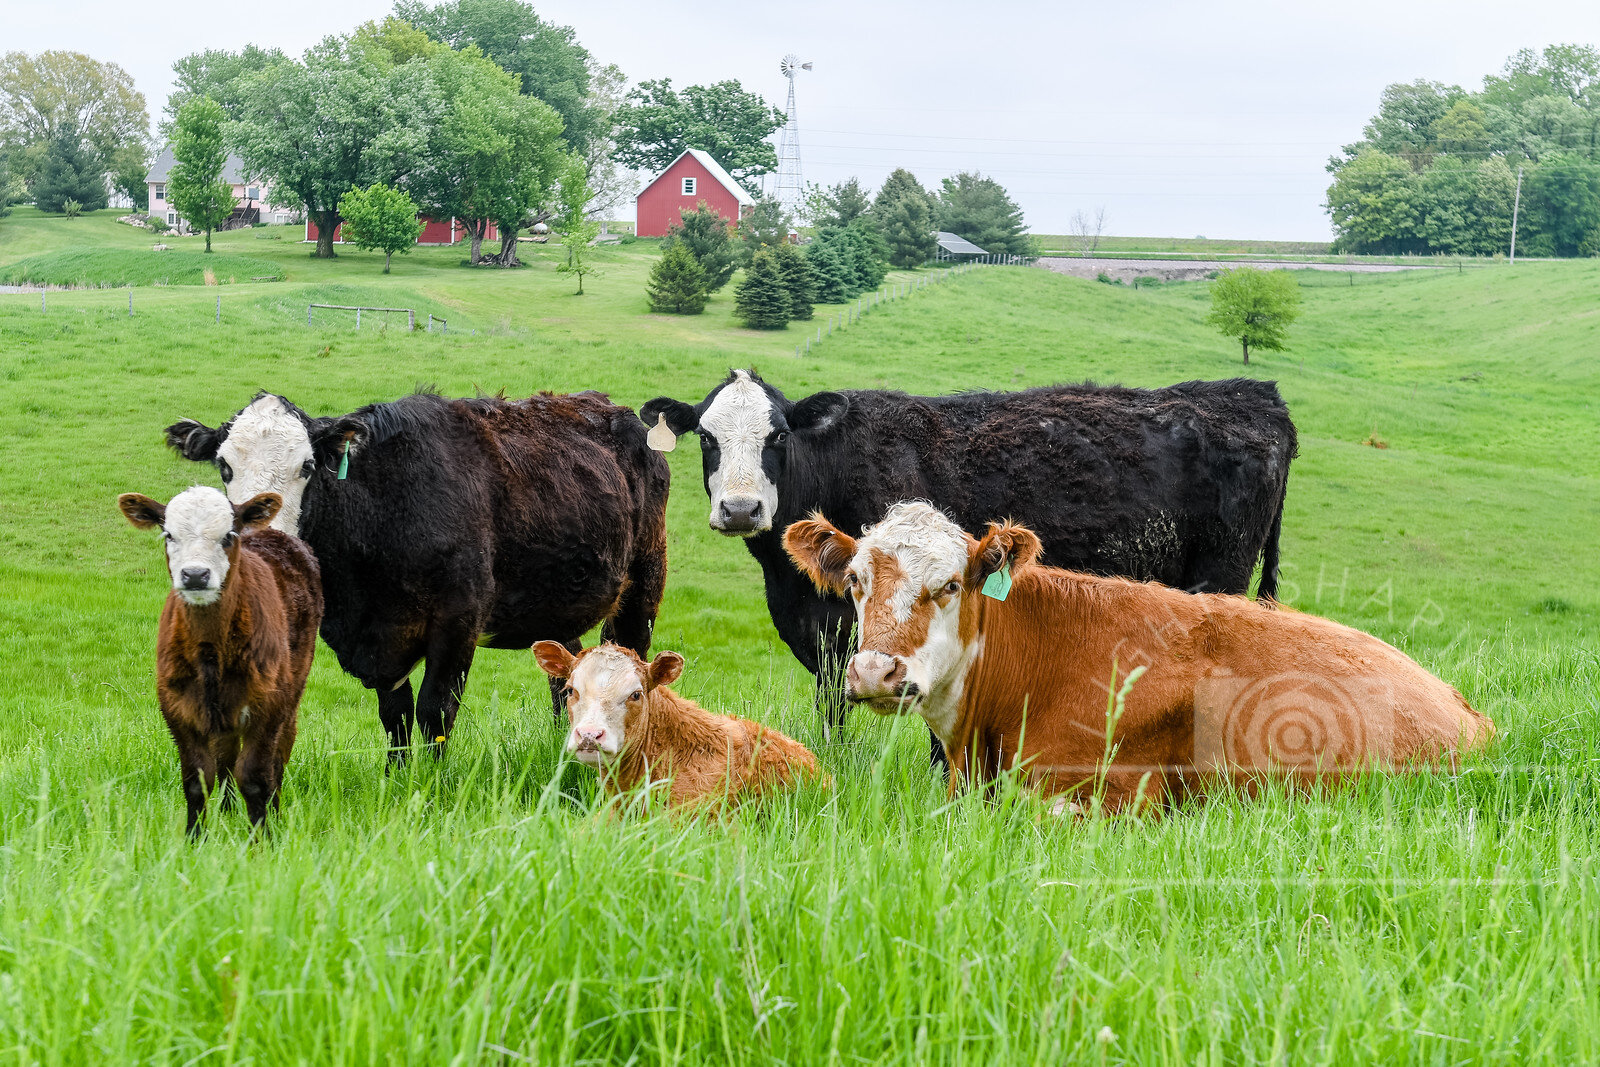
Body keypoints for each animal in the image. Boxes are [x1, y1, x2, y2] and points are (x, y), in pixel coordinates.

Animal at [118, 487, 323, 836]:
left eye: (228, 535)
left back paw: (275, 812)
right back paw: (228, 811)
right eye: (168, 534)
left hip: (291, 693)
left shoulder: (269, 705)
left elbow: (255, 778)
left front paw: (263, 838)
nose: (195, 575)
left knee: (279, 757)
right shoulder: (176, 706)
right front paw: (194, 840)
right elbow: (197, 780)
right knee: (226, 756)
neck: (210, 649)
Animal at [164, 390, 669, 759]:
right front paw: (398, 780)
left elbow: (434, 712)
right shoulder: (379, 640)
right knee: (566, 678)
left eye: (306, 466)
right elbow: (396, 717)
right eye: (224, 466)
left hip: (644, 585)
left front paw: (434, 786)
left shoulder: (458, 621)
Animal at [639, 369, 1297, 755]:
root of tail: (1249, 391)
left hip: (1220, 581)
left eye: (777, 436)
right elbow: (833, 714)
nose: (740, 507)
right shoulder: (827, 636)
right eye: (706, 437)